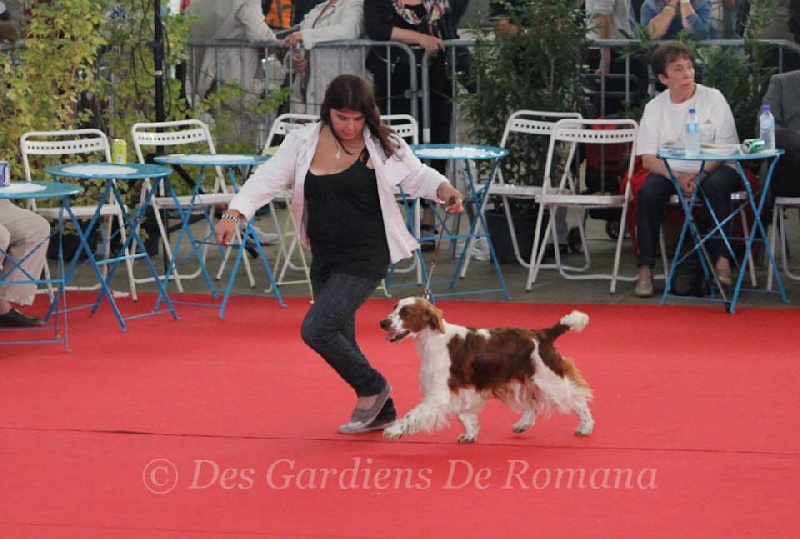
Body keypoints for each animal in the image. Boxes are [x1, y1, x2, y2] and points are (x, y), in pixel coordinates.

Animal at [379, 297, 594, 443]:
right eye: (394, 308)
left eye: (405, 312)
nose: (383, 323)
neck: (433, 339)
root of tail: (543, 334)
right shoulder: (462, 389)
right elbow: (463, 413)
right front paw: (470, 434)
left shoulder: (439, 393)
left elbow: (413, 413)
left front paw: (393, 430)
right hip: (526, 379)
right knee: (533, 402)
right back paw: (522, 425)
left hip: (549, 379)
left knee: (577, 399)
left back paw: (585, 426)